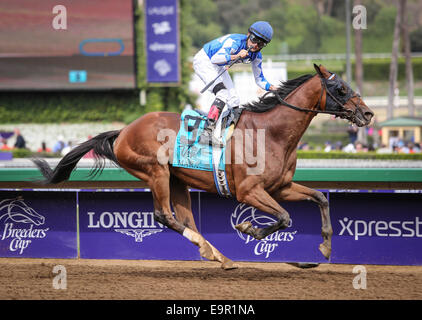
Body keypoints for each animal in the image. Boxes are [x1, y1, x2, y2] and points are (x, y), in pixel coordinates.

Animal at [33, 65, 372, 270]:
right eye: (341, 88)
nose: (368, 114)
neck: (272, 133)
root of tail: (124, 130)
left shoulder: (281, 187)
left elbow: (320, 198)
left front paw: (324, 248)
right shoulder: (249, 191)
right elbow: (284, 218)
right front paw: (249, 228)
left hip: (177, 180)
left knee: (186, 218)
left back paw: (217, 254)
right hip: (155, 172)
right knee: (164, 215)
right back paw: (213, 252)